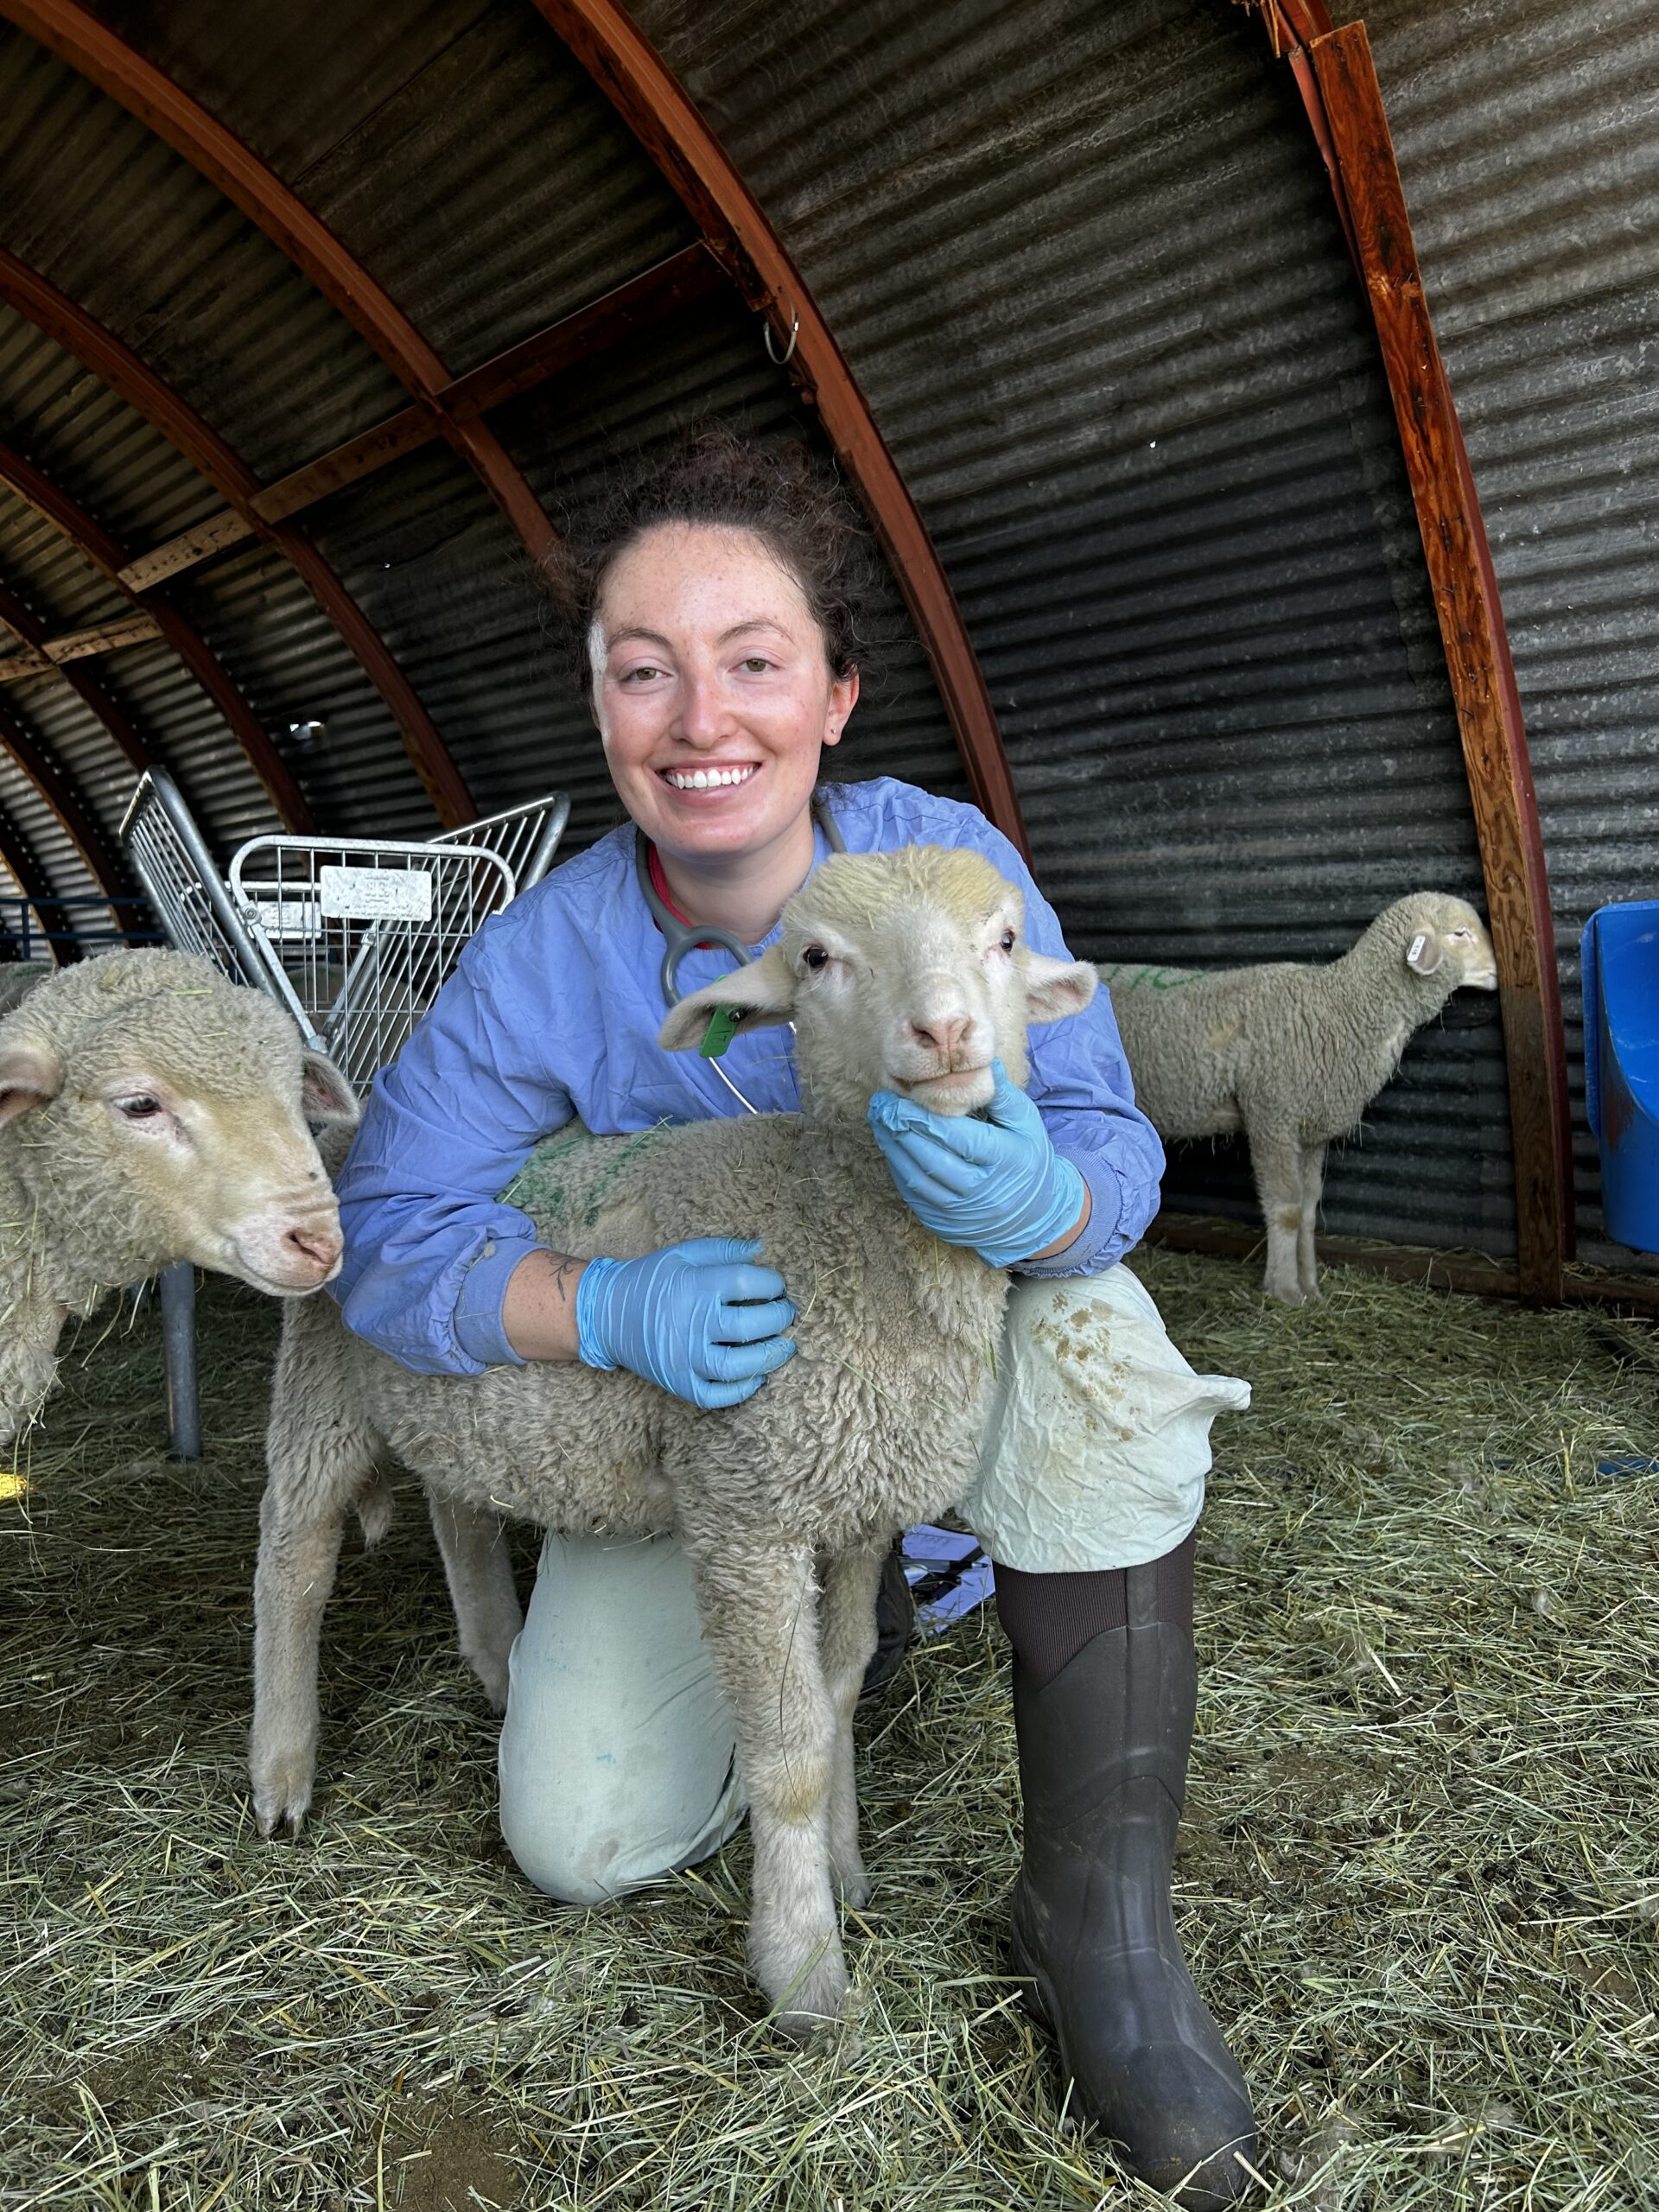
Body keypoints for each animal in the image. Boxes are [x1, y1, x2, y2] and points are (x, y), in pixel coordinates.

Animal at [1099, 892, 1498, 1306]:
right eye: (1460, 933)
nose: (1498, 971)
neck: (1344, 1008)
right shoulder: (1272, 1117)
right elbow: (1287, 1209)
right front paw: (1285, 1290)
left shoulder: (1311, 1129)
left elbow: (1308, 1210)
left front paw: (1312, 1289)